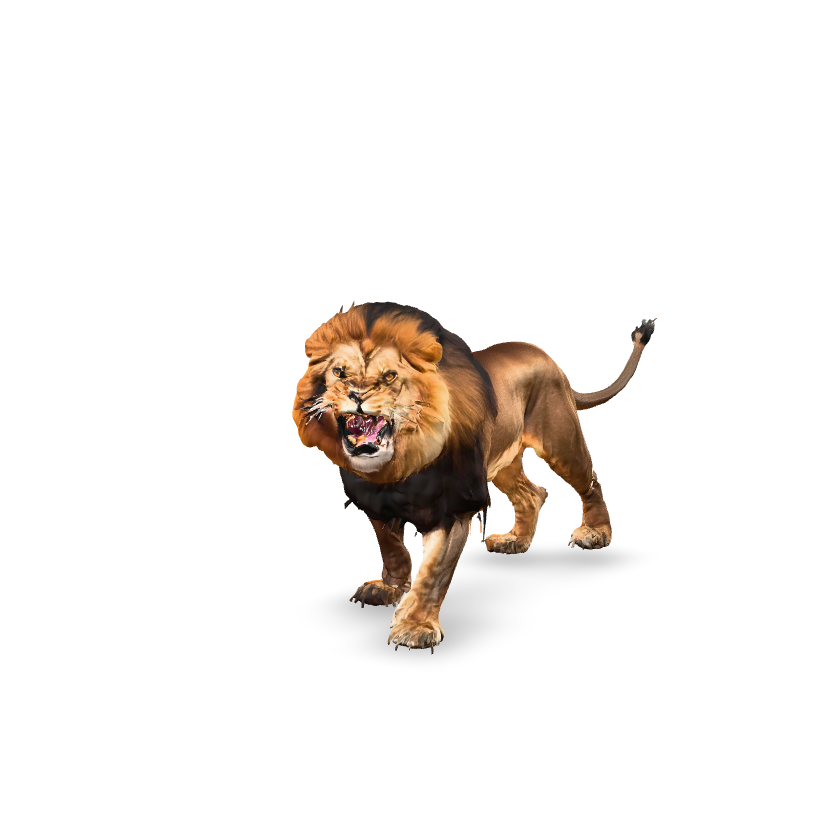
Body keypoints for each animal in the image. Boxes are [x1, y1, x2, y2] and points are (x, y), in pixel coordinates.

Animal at [293, 302, 656, 652]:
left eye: (390, 376)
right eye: (339, 372)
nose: (355, 395)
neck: (399, 464)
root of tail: (547, 358)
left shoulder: (454, 507)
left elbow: (433, 571)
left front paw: (416, 626)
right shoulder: (375, 500)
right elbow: (392, 549)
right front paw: (389, 588)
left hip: (559, 440)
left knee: (590, 482)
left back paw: (595, 533)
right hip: (502, 462)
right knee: (533, 493)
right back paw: (515, 540)